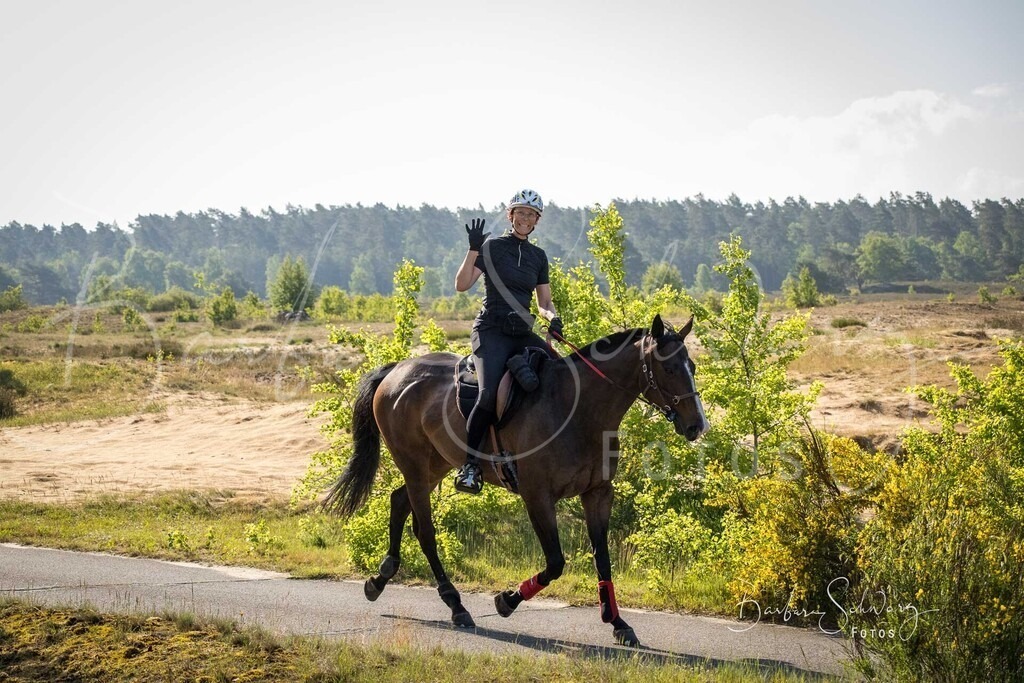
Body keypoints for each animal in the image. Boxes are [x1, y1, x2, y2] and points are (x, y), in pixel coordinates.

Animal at [323, 314, 707, 646]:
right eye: (669, 368)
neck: (579, 411)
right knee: (425, 531)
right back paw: (455, 605)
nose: (696, 426)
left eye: (692, 366)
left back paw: (379, 579)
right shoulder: (537, 496)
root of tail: (396, 371)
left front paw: (618, 623)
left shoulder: (598, 494)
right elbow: (555, 563)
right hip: (415, 465)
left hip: (434, 465)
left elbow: (603, 558)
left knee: (399, 502)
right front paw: (506, 600)